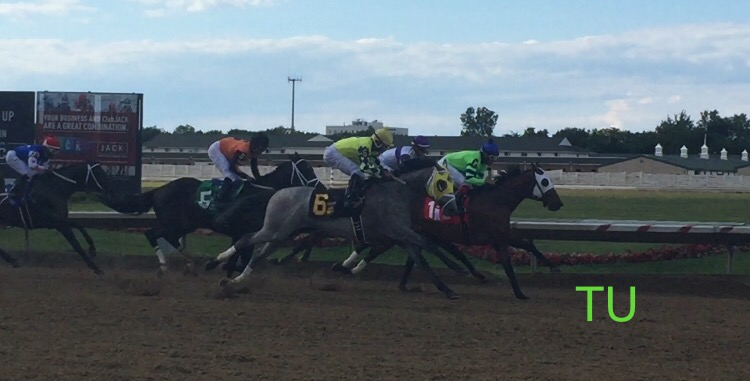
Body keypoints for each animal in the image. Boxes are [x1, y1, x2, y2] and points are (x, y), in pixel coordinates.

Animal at [103, 153, 320, 274]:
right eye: (307, 169)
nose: (321, 187)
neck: (263, 195)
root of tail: (159, 190)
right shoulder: (243, 231)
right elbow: (239, 259)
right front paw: (218, 267)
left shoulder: (240, 234)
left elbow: (237, 258)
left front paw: (222, 268)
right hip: (176, 223)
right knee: (152, 234)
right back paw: (168, 266)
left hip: (183, 224)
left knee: (162, 236)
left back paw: (189, 264)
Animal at [206, 157, 464, 296]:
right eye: (442, 183)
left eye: (452, 184)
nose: (453, 207)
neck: (396, 191)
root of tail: (277, 192)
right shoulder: (400, 231)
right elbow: (429, 245)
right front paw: (456, 268)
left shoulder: (400, 236)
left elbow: (421, 258)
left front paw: (447, 289)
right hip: (274, 229)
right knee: (246, 239)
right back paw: (214, 263)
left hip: (282, 234)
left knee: (259, 253)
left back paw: (236, 281)